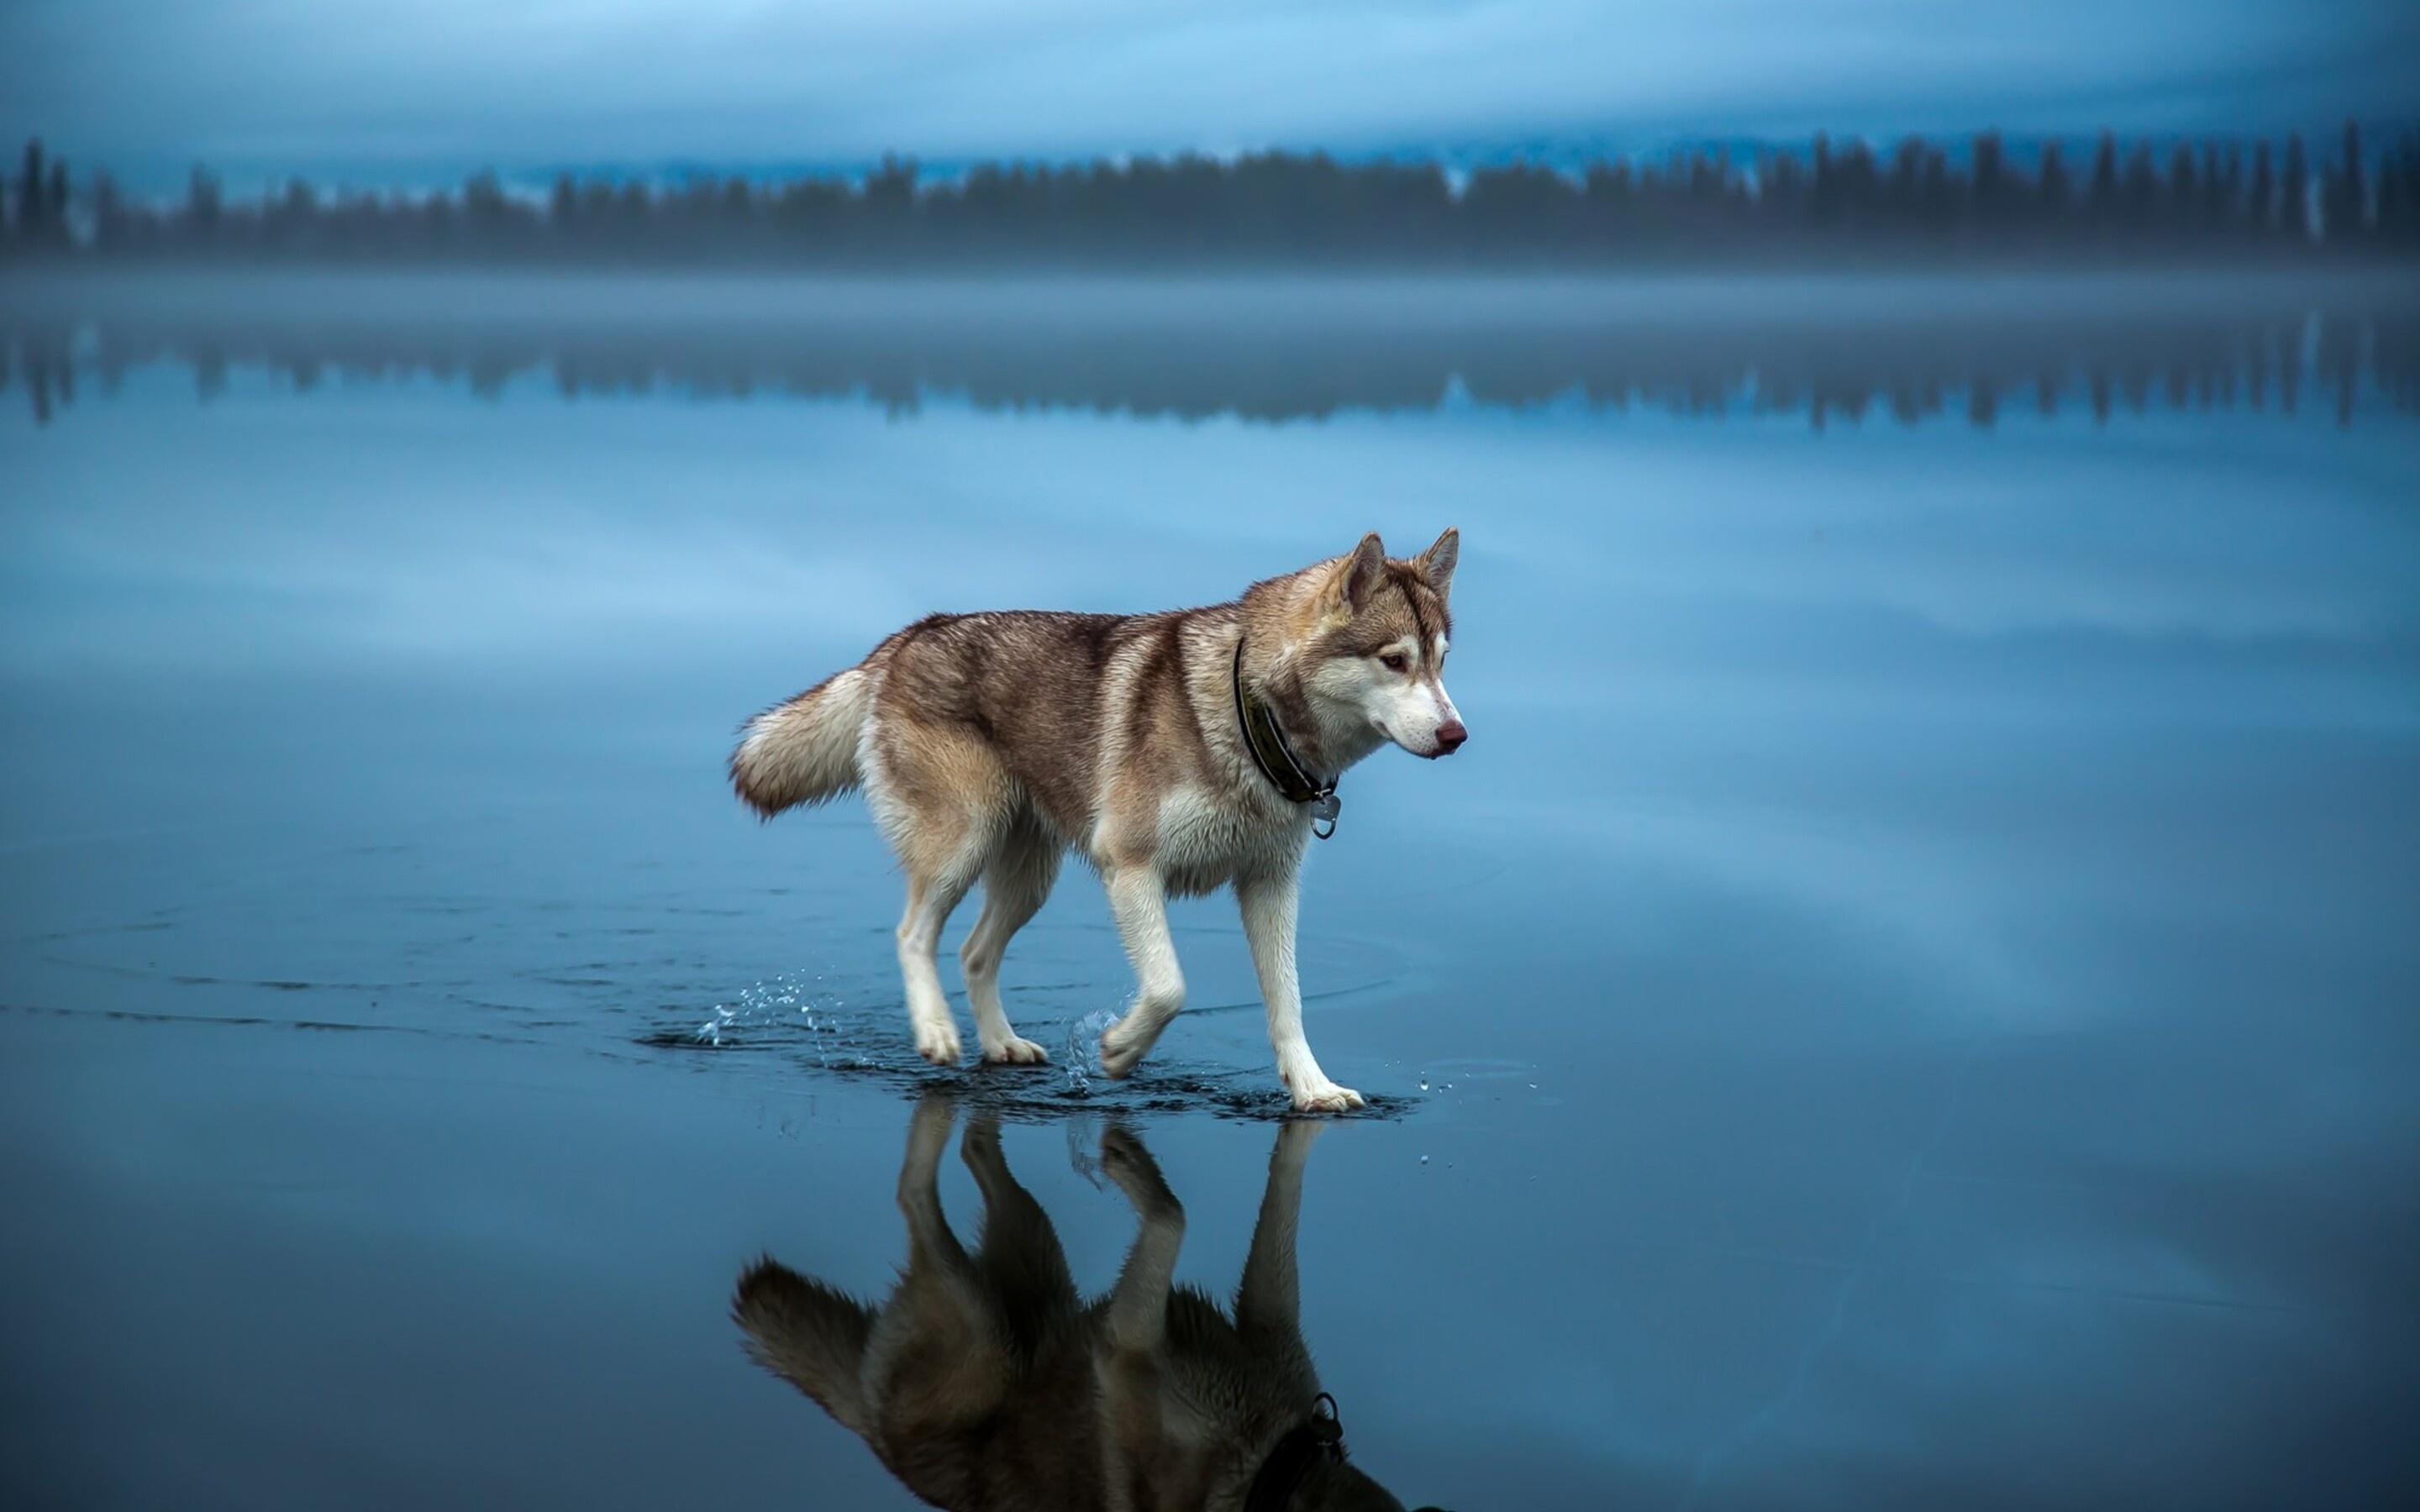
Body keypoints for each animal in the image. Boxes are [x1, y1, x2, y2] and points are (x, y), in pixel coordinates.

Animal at [726, 529, 1461, 1108]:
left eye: (1442, 662)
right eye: (1394, 661)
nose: (1457, 735)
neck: (1250, 716)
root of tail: (911, 634)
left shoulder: (1270, 886)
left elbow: (1288, 1003)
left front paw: (1313, 1090)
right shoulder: (1130, 866)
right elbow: (1169, 988)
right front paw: (1118, 1050)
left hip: (1029, 877)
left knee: (973, 953)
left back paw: (1000, 1044)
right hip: (962, 843)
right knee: (914, 933)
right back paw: (936, 1032)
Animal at [726, 1098, 1423, 1509]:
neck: (1274, 1464)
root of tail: (872, 1435)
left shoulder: (1265, 1320)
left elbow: (1282, 1200)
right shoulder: (1126, 1347)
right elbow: (1174, 1216)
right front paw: (1127, 1163)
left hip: (1035, 1257)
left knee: (978, 1153)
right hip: (989, 1333)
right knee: (912, 1195)